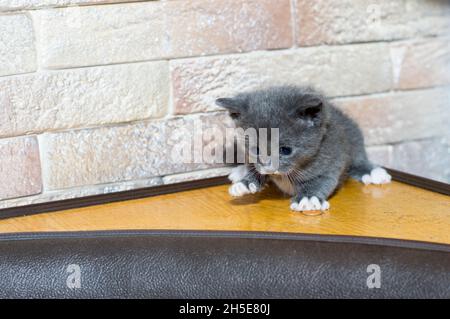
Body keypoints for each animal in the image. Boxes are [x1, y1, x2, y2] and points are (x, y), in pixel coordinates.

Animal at [216, 86, 392, 214]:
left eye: (285, 150)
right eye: (256, 149)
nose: (268, 167)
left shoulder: (330, 159)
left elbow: (321, 181)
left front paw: (308, 198)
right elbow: (256, 170)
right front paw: (246, 183)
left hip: (354, 140)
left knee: (358, 159)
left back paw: (372, 172)